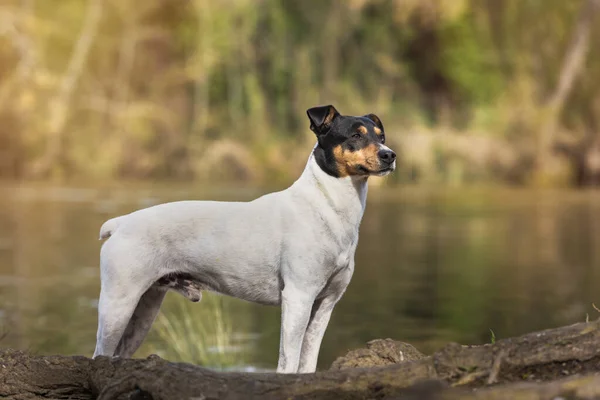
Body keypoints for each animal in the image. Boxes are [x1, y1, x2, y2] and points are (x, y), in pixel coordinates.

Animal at [92, 104, 394, 374]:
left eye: (381, 136)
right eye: (355, 135)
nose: (389, 155)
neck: (325, 207)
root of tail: (120, 223)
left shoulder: (325, 304)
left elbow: (307, 363)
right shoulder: (298, 297)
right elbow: (288, 363)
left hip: (144, 310)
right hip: (118, 304)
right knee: (99, 354)